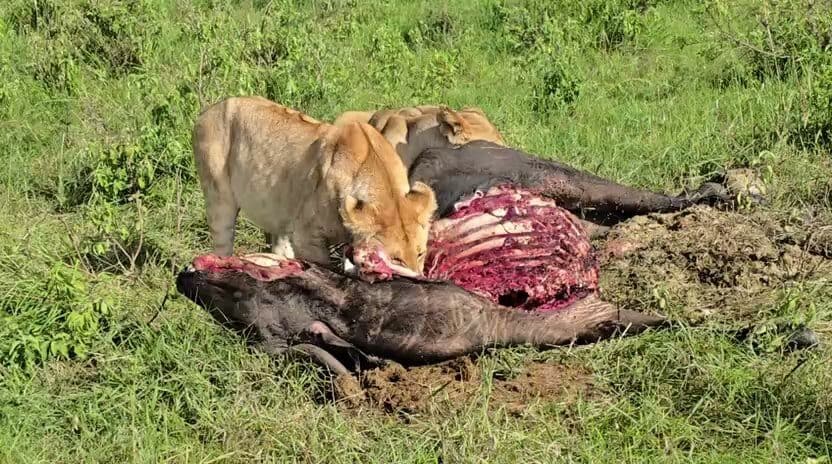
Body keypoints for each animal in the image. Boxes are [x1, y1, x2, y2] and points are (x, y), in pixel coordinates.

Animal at [192, 96, 438, 276]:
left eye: (420, 254)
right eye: (395, 258)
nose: (418, 279)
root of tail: (206, 111)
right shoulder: (307, 237)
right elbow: (326, 269)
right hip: (219, 200)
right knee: (222, 244)